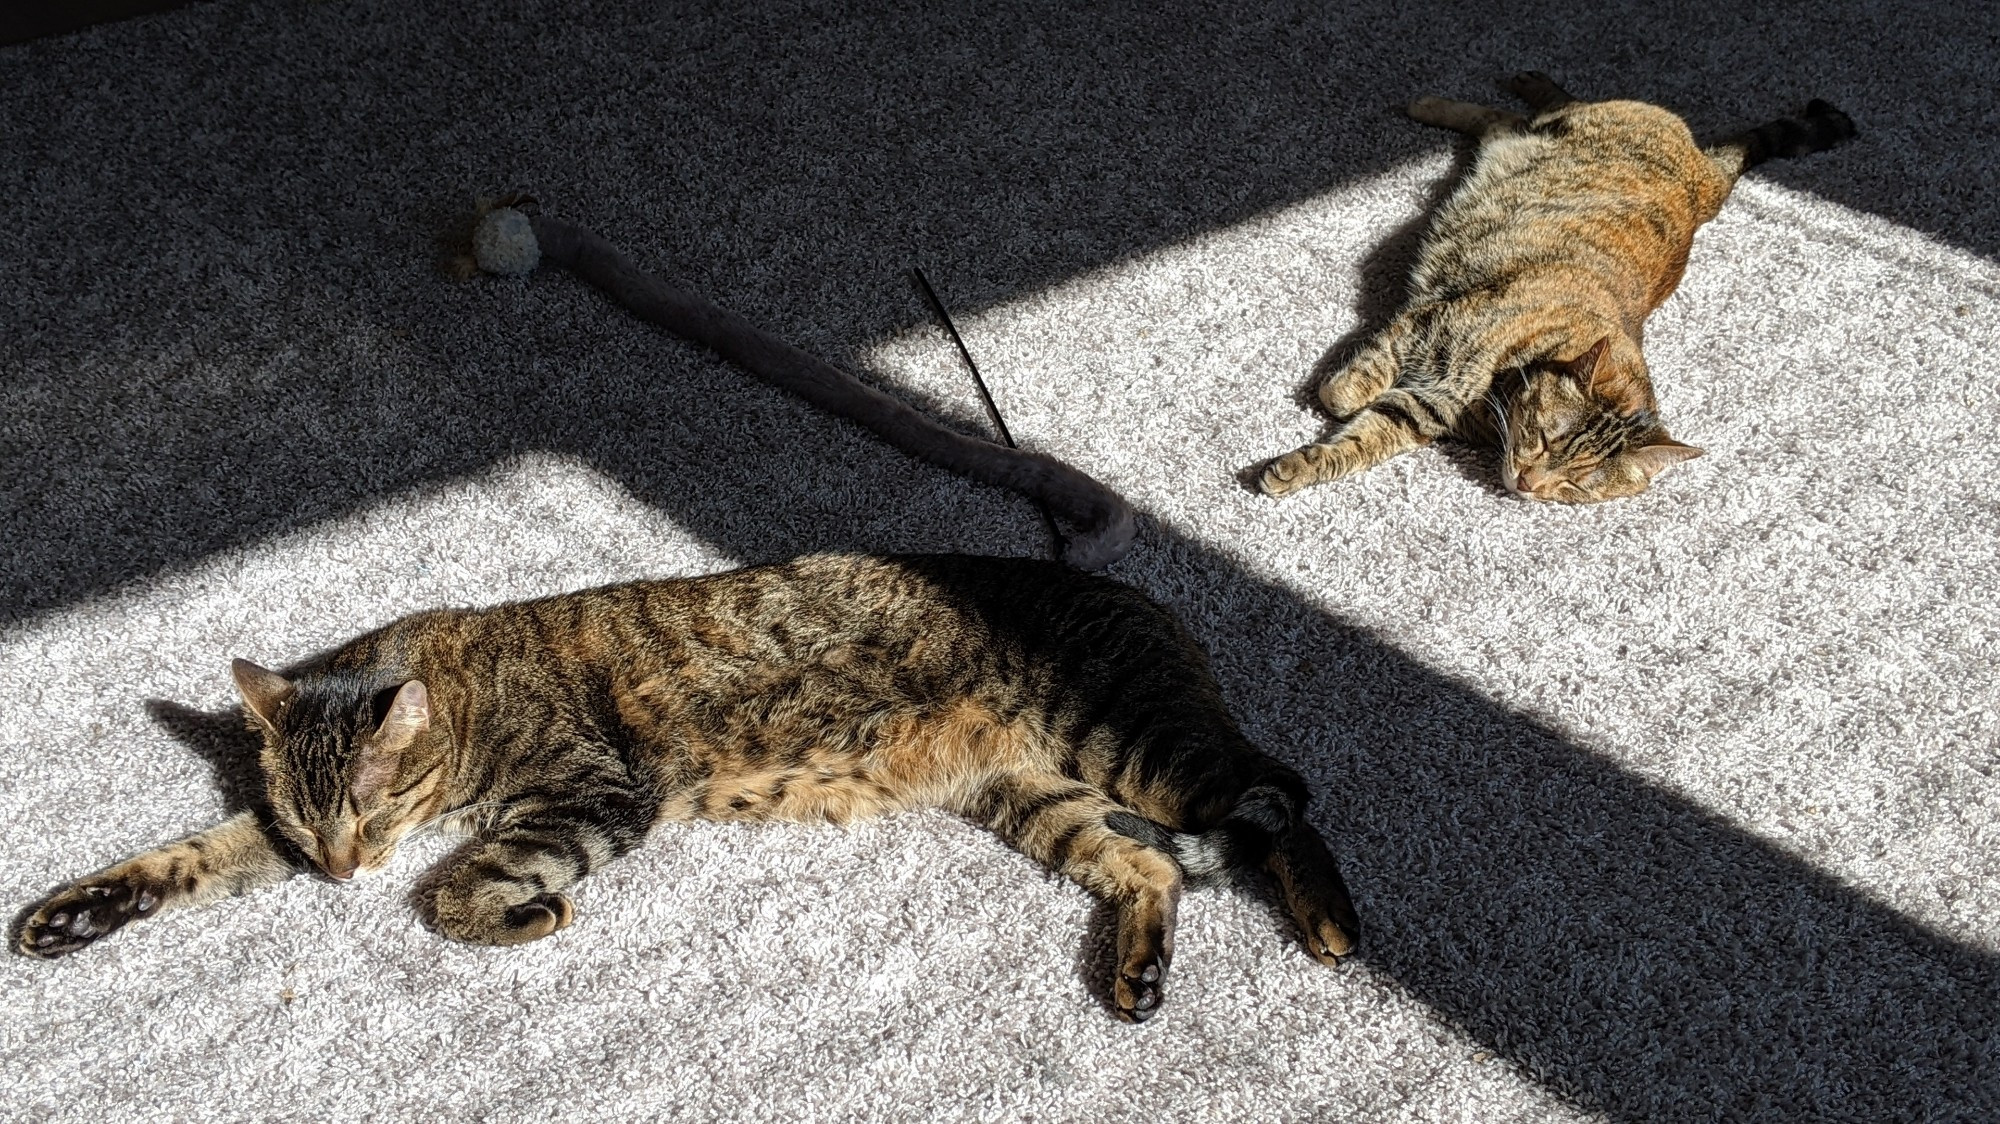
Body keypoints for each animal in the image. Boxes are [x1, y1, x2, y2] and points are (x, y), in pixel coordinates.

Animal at [19, 552, 1360, 1016]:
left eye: (370, 808)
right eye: (312, 820)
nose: (341, 870)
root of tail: (1139, 590)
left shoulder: (596, 795)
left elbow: (454, 891)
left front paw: (524, 912)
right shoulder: (269, 833)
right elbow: (191, 856)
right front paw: (78, 910)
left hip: (1128, 747)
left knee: (1280, 788)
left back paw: (1332, 920)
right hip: (1036, 795)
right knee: (1143, 863)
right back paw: (1136, 971)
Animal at [1256, 72, 1848, 500]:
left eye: (1573, 486)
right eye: (1543, 439)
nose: (1529, 485)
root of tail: (1709, 171)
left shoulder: (1422, 410)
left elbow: (1358, 441)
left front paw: (1295, 467)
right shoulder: (1429, 320)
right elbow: (1349, 388)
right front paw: (1336, 391)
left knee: (1503, 119)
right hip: (1560, 127)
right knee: (1528, 108)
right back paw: (1459, 95)